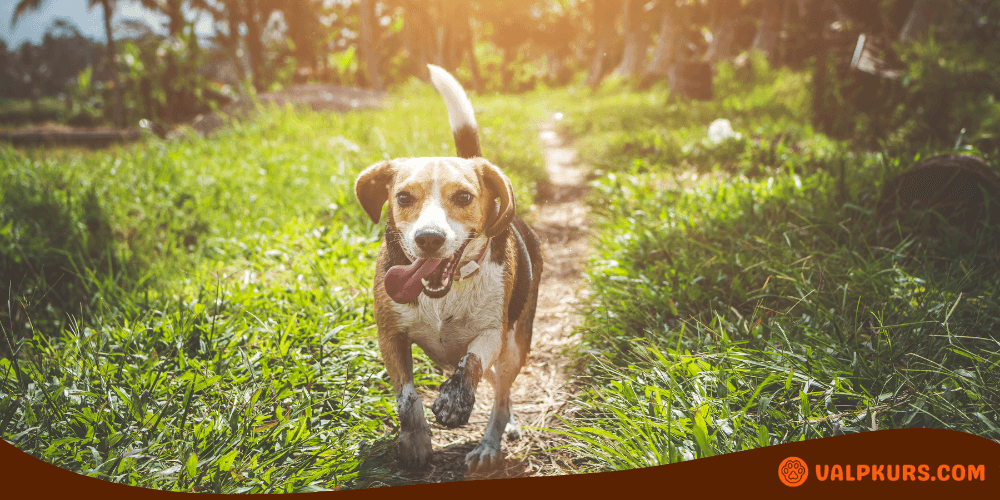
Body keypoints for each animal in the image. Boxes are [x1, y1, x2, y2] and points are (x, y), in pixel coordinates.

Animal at [354, 64, 544, 470]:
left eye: (464, 197)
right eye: (403, 197)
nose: (429, 238)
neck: (446, 292)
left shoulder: (492, 333)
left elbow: (470, 361)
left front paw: (455, 401)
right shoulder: (390, 336)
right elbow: (407, 398)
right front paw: (415, 442)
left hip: (515, 346)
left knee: (500, 397)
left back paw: (489, 445)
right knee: (497, 389)